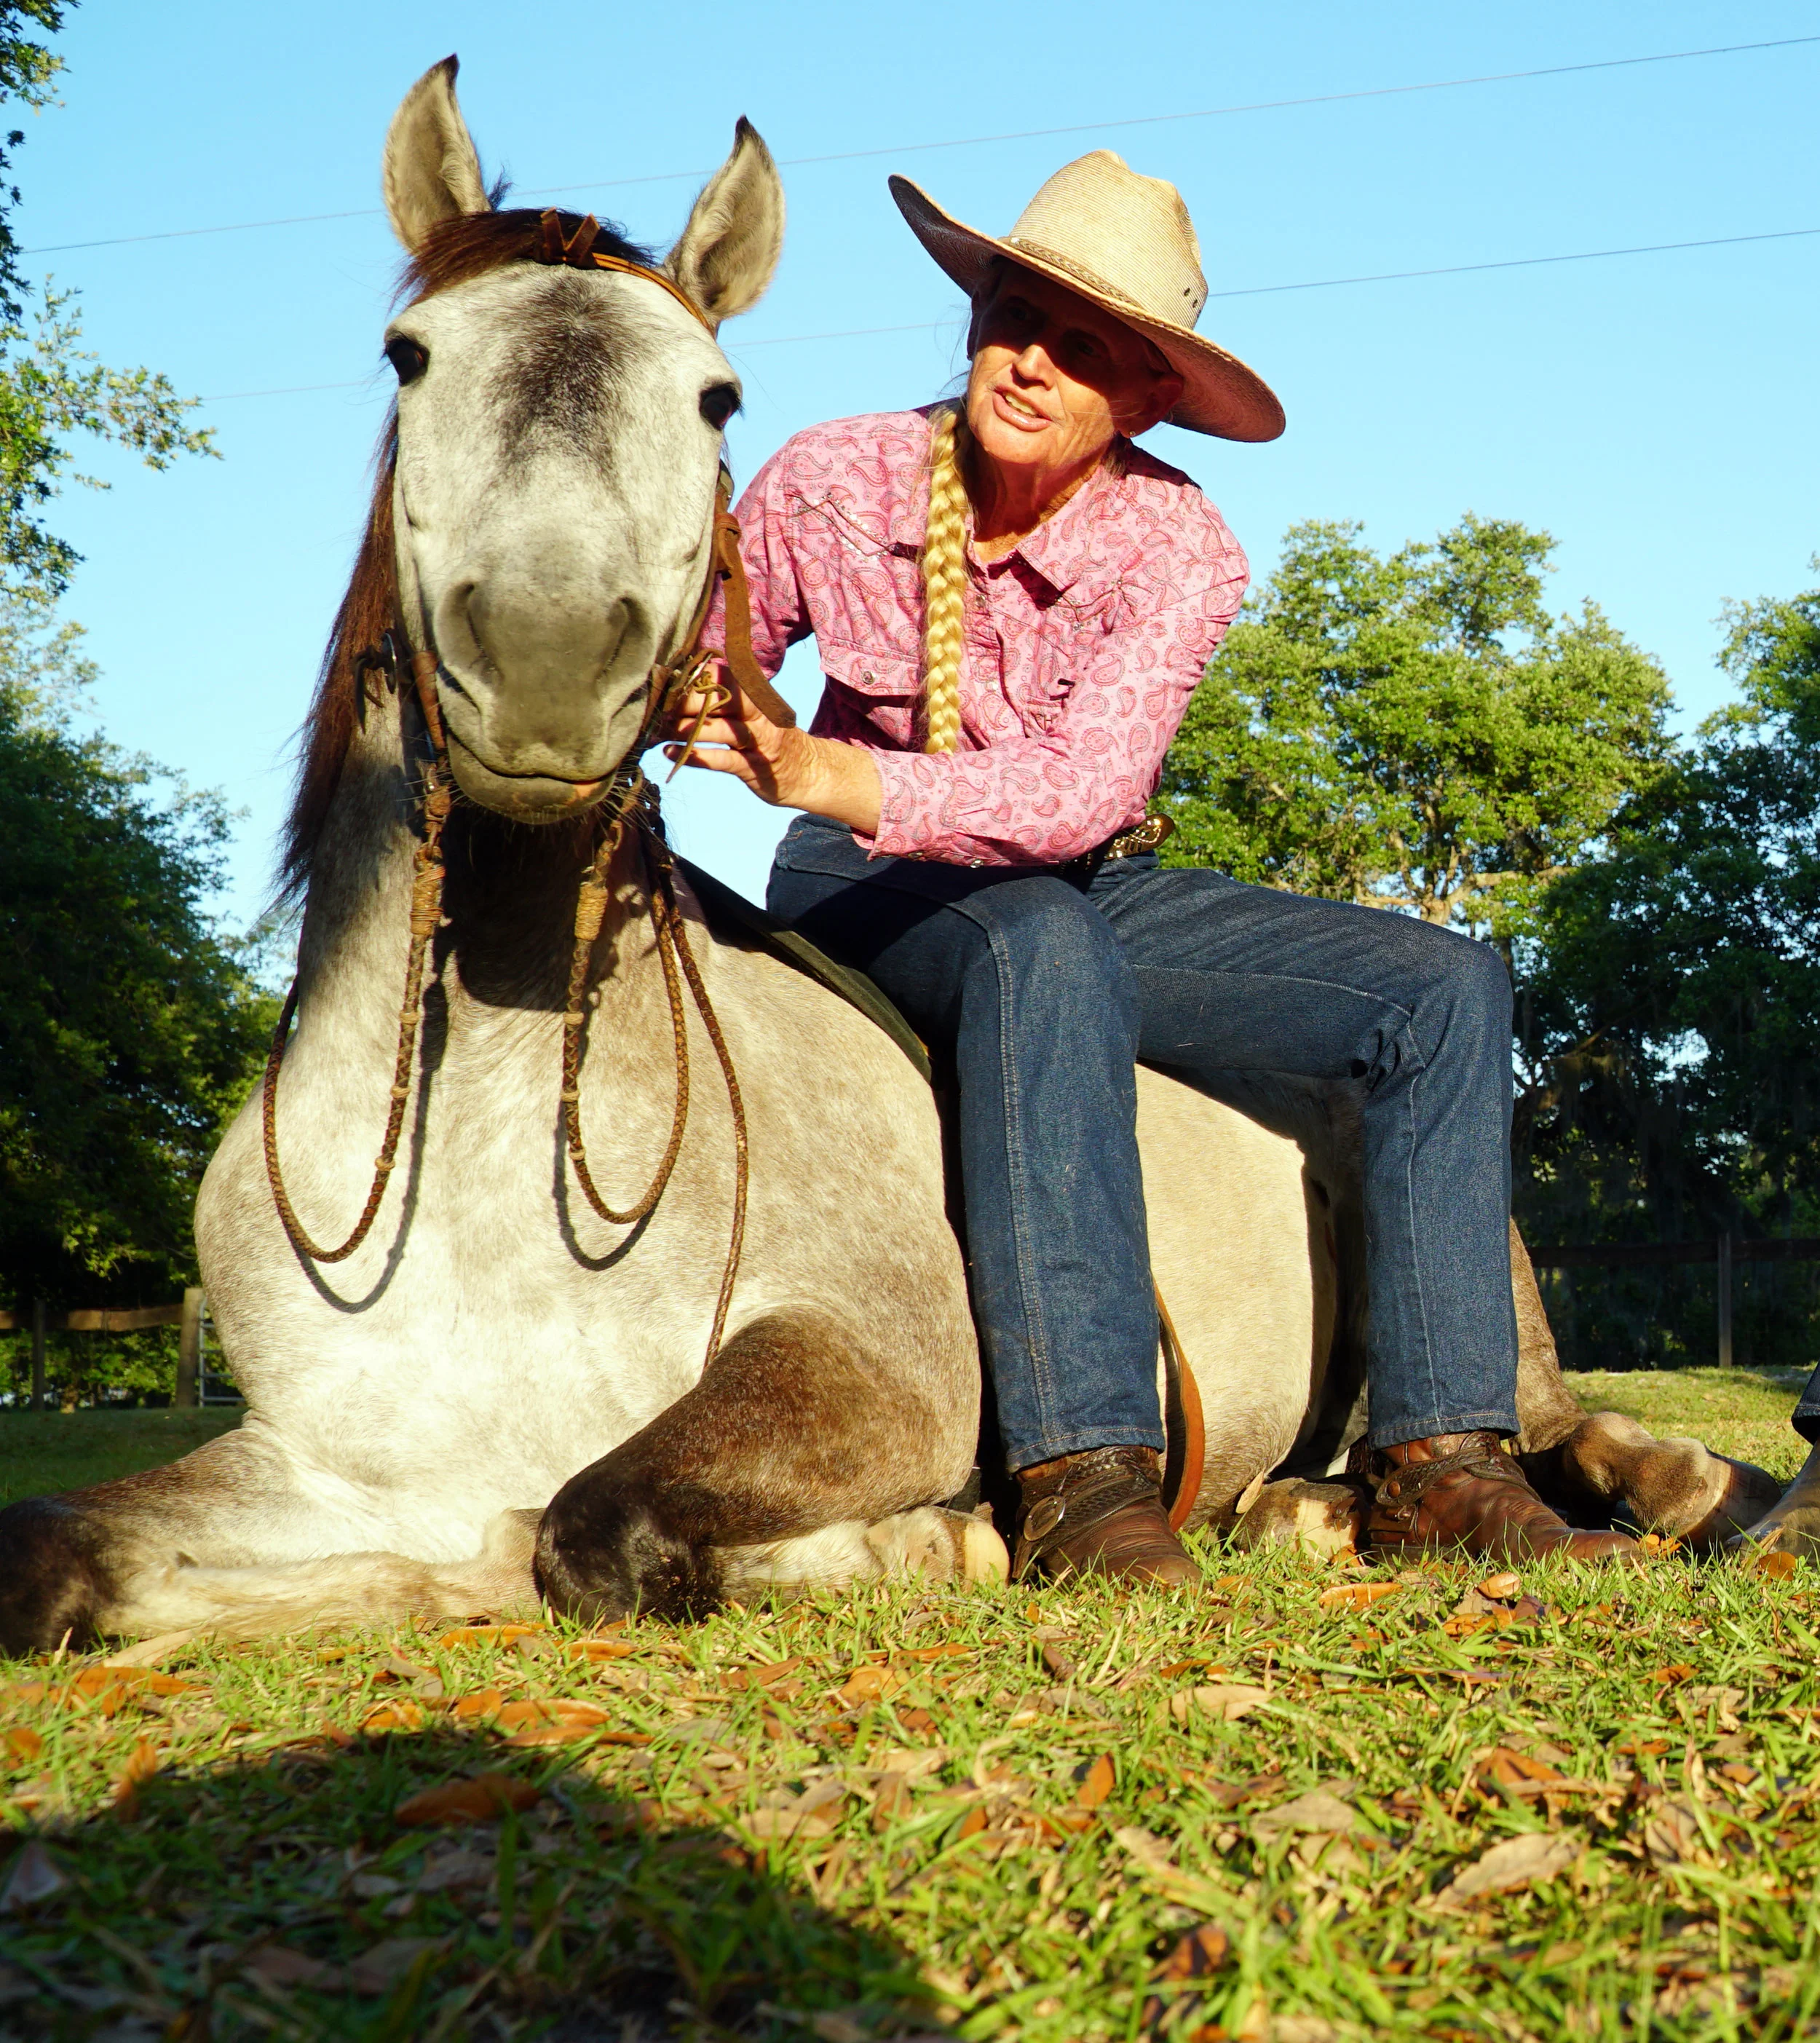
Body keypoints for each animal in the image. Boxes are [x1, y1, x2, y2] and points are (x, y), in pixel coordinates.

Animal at [0, 57, 1787, 1657]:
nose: (549, 657)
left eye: (716, 395)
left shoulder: (865, 1365)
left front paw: (937, 1541)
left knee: (1568, 1427)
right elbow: (60, 1555)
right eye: (409, 354)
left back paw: (1652, 1495)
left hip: (1498, 1311)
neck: (494, 1158)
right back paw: (1311, 1508)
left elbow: (587, 1528)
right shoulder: (312, 1452)